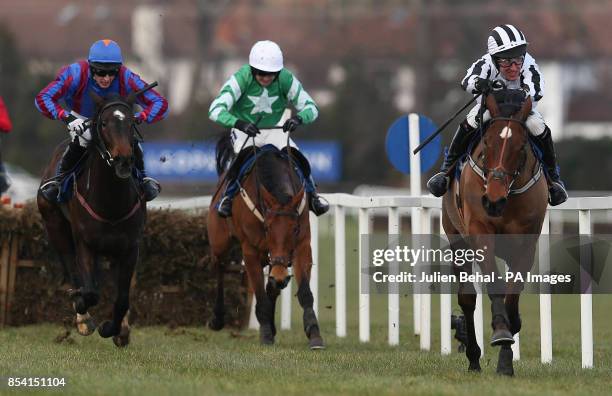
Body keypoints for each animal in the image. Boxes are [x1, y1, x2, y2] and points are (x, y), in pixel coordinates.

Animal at [37, 86, 153, 346]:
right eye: (104, 124)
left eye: (132, 123)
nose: (123, 159)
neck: (111, 203)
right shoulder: (85, 244)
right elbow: (90, 292)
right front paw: (84, 311)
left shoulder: (130, 247)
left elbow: (122, 298)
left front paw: (113, 328)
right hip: (55, 226)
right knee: (71, 269)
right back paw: (82, 317)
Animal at [208, 137, 326, 350]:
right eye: (268, 228)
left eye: (295, 229)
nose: (280, 275)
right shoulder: (251, 251)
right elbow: (261, 296)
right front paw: (265, 335)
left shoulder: (302, 246)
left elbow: (305, 292)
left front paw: (314, 334)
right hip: (220, 241)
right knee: (220, 268)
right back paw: (218, 318)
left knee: (272, 286)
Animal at [442, 86, 548, 374]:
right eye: (487, 143)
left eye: (521, 146)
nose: (493, 200)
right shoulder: (480, 234)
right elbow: (494, 286)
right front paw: (500, 330)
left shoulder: (526, 245)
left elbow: (513, 297)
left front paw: (506, 360)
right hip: (457, 241)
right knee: (467, 298)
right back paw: (473, 358)